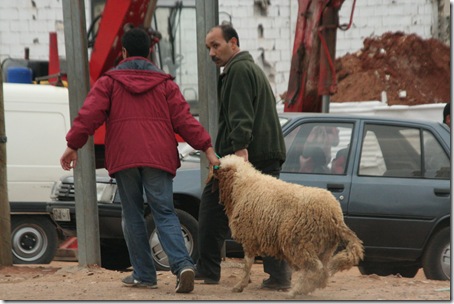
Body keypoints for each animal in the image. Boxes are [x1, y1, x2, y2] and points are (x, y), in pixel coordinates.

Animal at [214, 156, 366, 298]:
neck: (243, 184)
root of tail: (334, 214)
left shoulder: (249, 236)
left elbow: (247, 264)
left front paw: (240, 286)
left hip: (298, 240)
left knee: (314, 267)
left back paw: (295, 291)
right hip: (325, 247)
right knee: (323, 270)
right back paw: (308, 288)